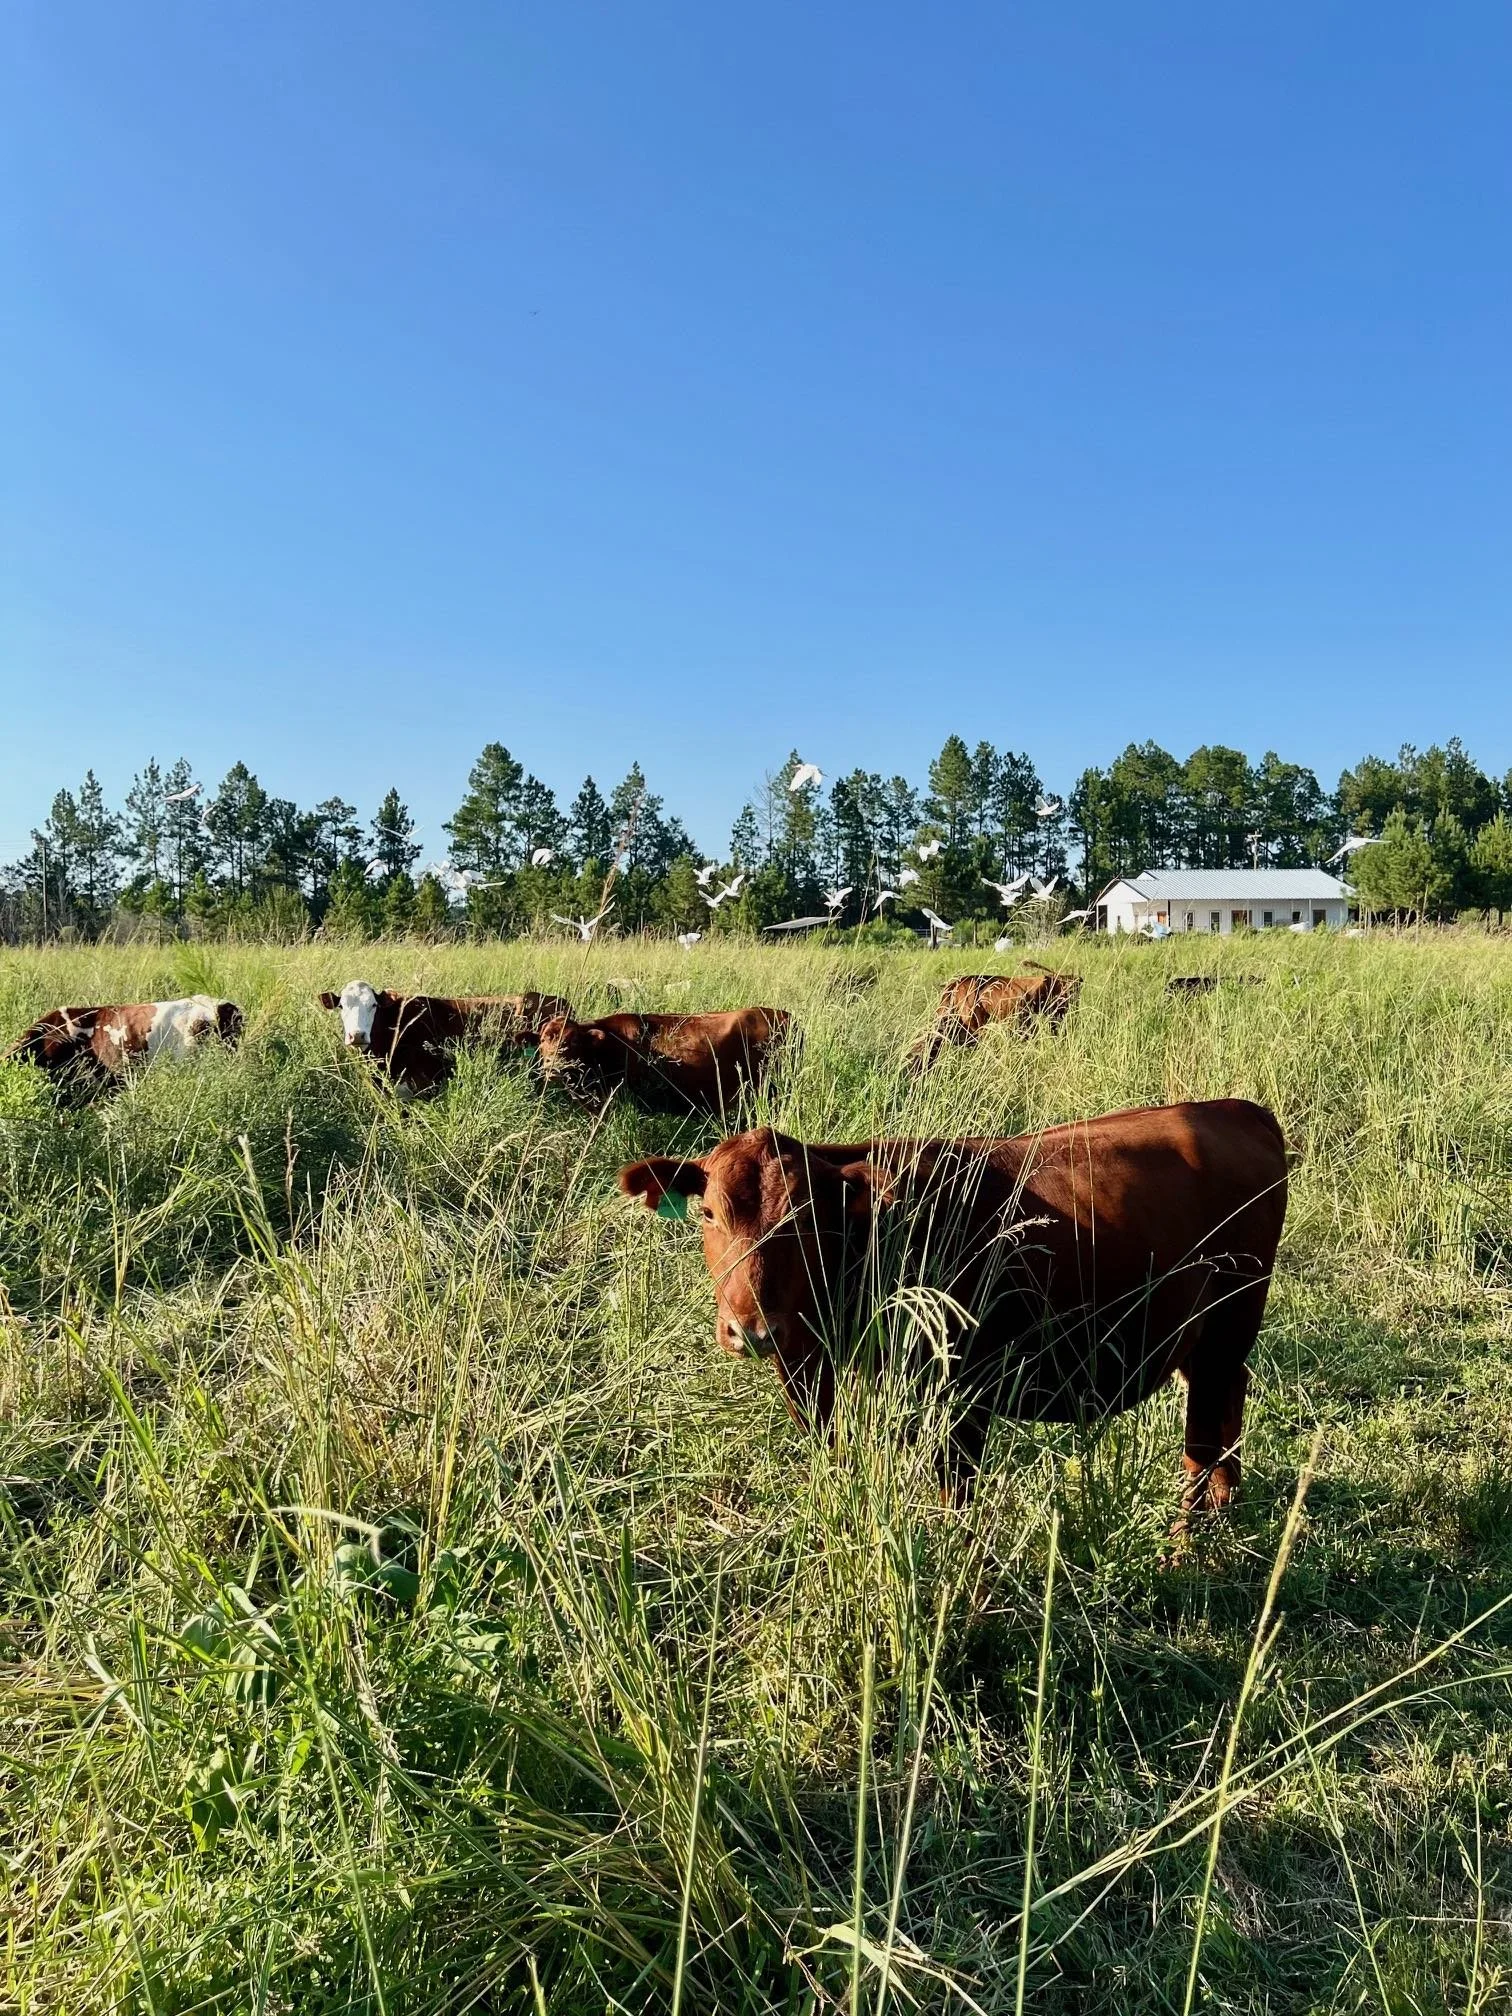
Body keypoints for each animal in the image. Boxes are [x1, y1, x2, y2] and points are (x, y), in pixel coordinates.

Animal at [619, 1099, 1287, 1515]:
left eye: (808, 1218)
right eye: (709, 1212)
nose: (751, 1330)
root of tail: (1233, 1109)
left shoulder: (959, 1394)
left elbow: (955, 1495)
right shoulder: (808, 1365)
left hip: (1227, 1326)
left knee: (1202, 1438)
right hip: (1202, 1340)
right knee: (1227, 1409)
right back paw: (1227, 1505)